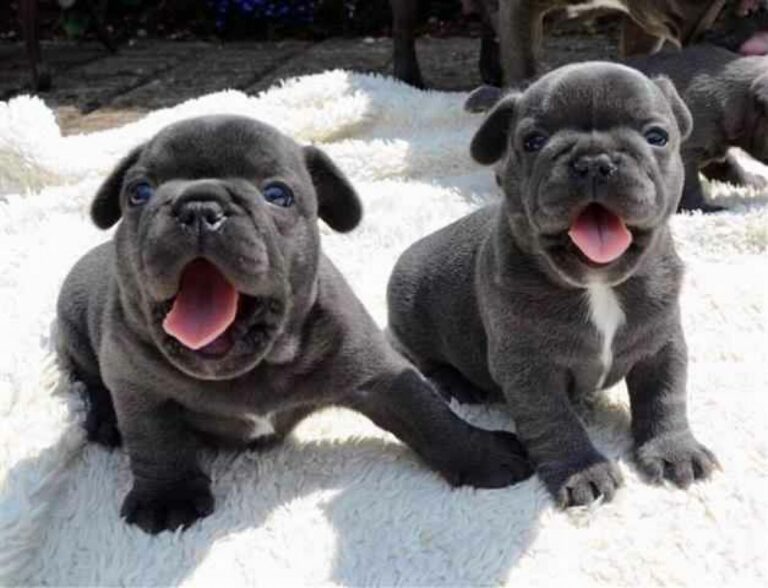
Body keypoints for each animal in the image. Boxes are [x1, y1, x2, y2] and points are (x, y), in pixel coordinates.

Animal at [56, 115, 532, 534]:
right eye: (138, 192)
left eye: (278, 195)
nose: (198, 207)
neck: (252, 366)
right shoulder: (136, 384)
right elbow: (154, 439)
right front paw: (166, 497)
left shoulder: (378, 374)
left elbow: (427, 412)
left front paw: (483, 454)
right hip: (75, 330)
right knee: (91, 381)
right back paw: (106, 421)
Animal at [387, 63, 718, 507]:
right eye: (533, 142)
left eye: (657, 137)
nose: (595, 161)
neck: (598, 284)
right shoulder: (530, 368)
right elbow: (554, 420)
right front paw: (583, 470)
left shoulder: (662, 345)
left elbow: (665, 397)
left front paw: (674, 450)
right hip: (410, 318)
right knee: (425, 361)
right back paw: (460, 385)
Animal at [464, 44, 768, 212]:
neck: (740, 97)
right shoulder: (687, 149)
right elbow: (690, 185)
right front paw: (706, 209)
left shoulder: (713, 147)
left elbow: (728, 167)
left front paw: (754, 182)